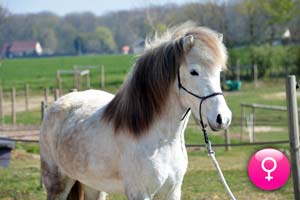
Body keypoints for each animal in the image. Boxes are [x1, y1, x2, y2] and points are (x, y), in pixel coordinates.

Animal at [39, 22, 232, 199]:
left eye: (219, 72)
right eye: (193, 72)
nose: (223, 118)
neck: (162, 139)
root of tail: (57, 104)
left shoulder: (172, 191)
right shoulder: (140, 193)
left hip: (93, 186)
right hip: (57, 184)